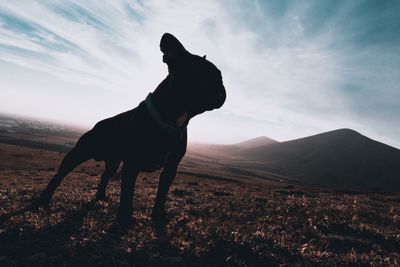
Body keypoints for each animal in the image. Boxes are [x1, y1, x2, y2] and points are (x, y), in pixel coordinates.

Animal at [30, 33, 225, 226]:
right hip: (79, 152)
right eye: (200, 74)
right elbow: (128, 192)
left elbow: (162, 193)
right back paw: (42, 200)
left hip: (114, 163)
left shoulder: (171, 167)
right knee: (59, 175)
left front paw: (159, 216)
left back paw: (101, 196)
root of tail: (98, 124)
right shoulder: (132, 163)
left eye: (219, 76)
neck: (172, 119)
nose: (221, 86)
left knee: (105, 176)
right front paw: (124, 218)